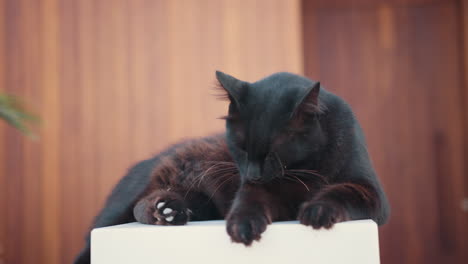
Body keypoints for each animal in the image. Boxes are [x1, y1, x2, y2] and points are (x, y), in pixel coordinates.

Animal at [73, 71, 390, 262]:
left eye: (273, 153)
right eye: (240, 147)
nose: (253, 173)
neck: (305, 167)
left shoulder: (369, 190)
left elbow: (341, 192)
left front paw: (318, 211)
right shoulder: (258, 189)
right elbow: (250, 200)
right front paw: (243, 226)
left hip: (202, 203)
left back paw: (169, 210)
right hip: (128, 202)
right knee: (136, 207)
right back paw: (165, 211)